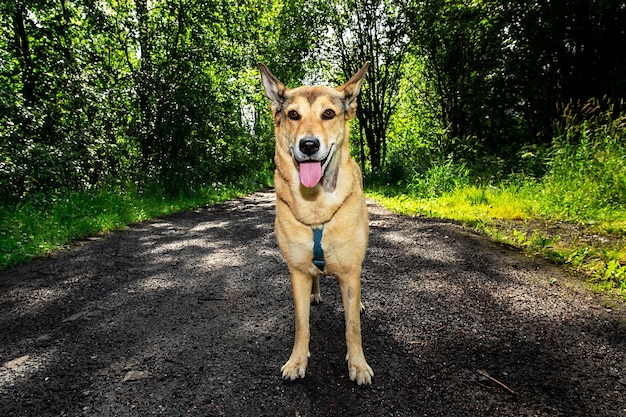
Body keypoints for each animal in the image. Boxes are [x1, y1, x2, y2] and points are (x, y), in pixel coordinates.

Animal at [258, 61, 370, 384]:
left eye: (328, 114)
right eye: (293, 114)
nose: (308, 145)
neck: (316, 204)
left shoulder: (350, 273)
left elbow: (352, 327)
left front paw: (358, 364)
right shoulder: (297, 272)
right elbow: (302, 324)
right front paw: (297, 361)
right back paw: (315, 294)